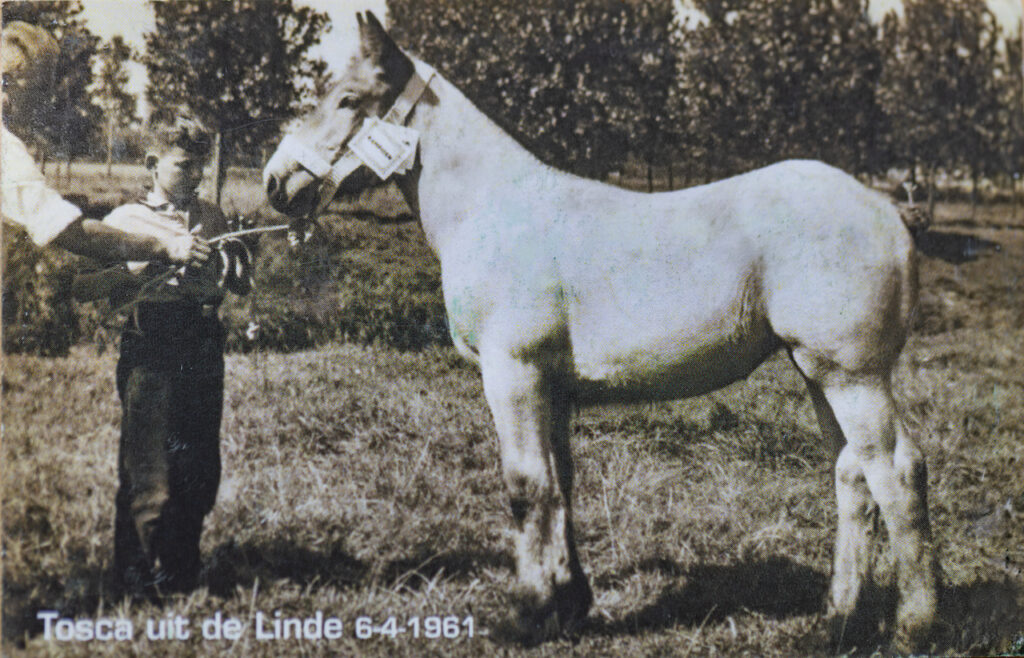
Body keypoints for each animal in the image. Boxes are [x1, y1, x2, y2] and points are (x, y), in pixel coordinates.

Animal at [264, 11, 939, 651]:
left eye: (348, 99)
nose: (275, 182)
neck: (495, 210)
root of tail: (891, 213)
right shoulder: (553, 388)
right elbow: (560, 482)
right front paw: (570, 605)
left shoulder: (513, 375)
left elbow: (525, 486)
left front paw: (530, 614)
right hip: (816, 373)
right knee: (853, 477)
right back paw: (839, 624)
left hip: (851, 376)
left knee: (896, 473)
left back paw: (913, 627)